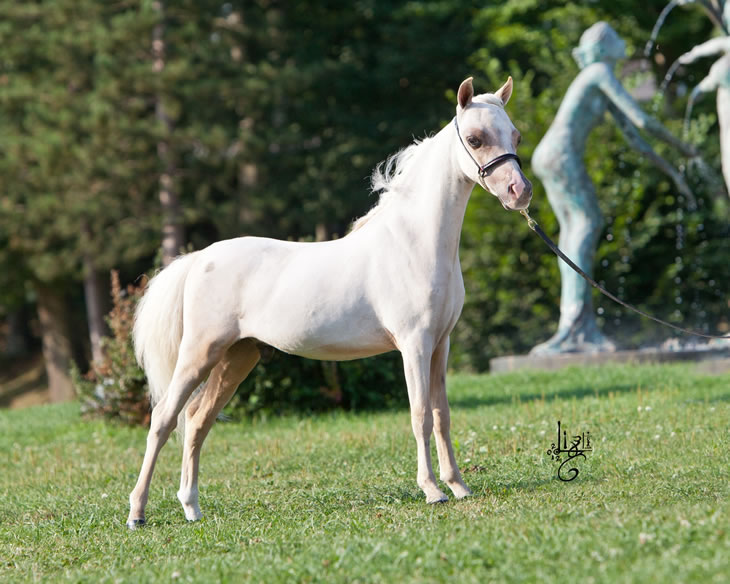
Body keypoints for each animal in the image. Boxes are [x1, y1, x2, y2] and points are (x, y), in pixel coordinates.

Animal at [128, 75, 532, 528]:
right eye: (476, 139)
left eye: (515, 135)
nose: (520, 192)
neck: (415, 243)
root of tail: (199, 259)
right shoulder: (414, 345)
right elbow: (420, 415)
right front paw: (432, 490)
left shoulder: (440, 345)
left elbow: (442, 415)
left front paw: (459, 486)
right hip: (199, 354)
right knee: (163, 419)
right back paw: (137, 512)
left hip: (237, 357)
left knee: (198, 422)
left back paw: (191, 507)